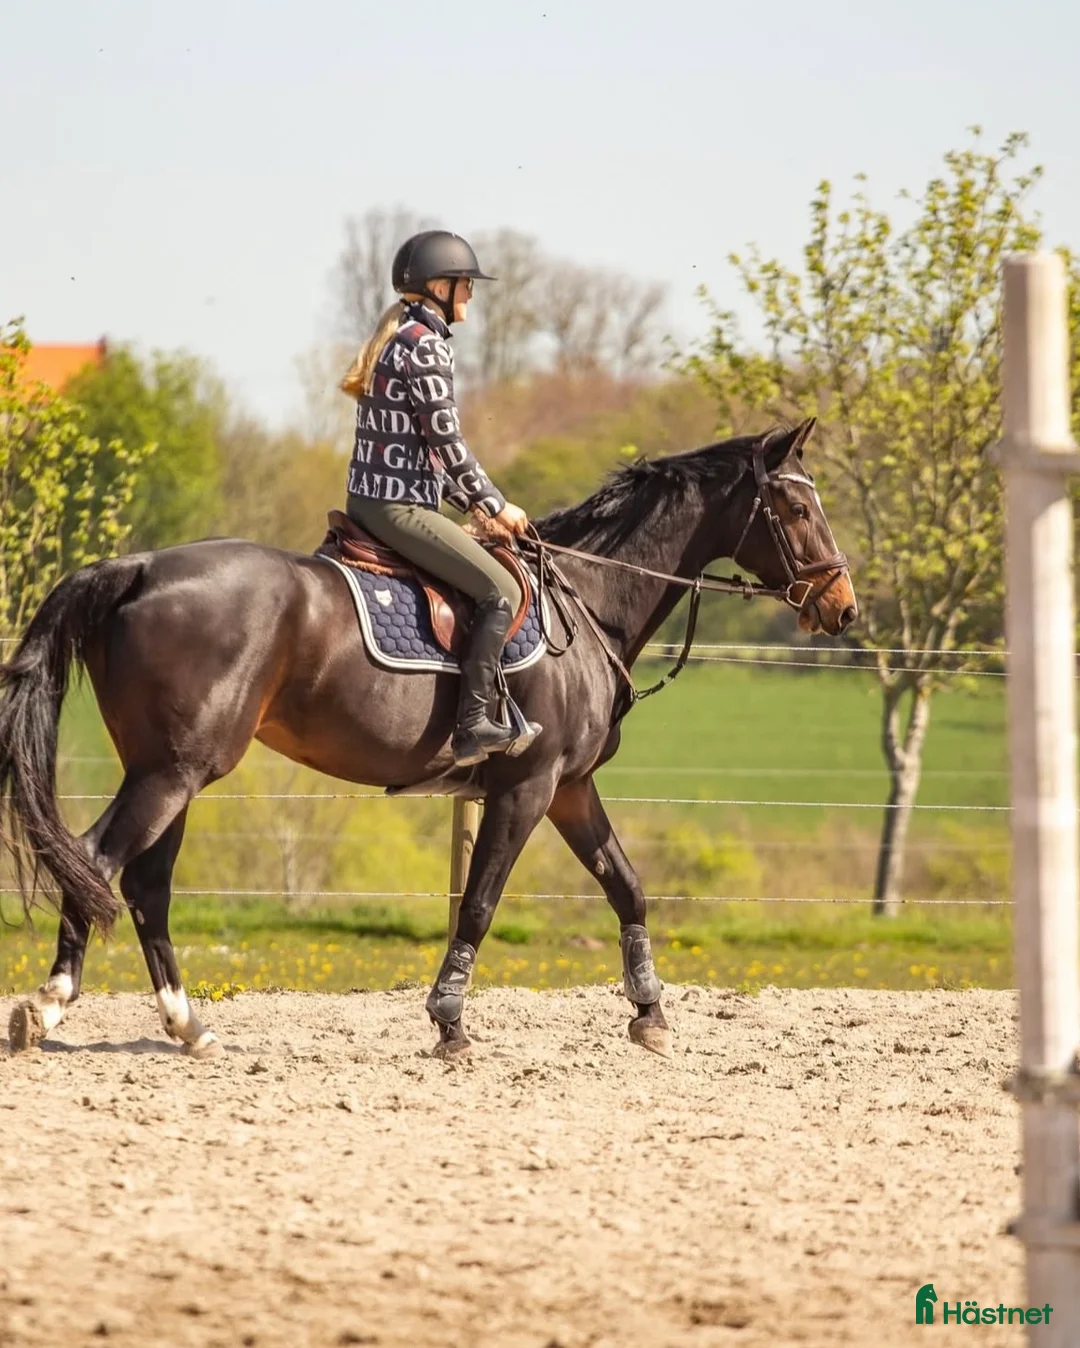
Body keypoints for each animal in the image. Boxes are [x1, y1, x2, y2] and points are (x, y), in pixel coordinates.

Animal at [0, 417, 856, 1061]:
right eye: (798, 509)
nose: (843, 606)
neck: (586, 604)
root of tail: (140, 566)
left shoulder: (571, 790)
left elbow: (627, 886)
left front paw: (649, 1015)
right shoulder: (526, 789)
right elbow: (477, 905)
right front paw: (449, 1023)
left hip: (167, 769)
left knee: (145, 885)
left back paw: (188, 1027)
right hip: (173, 771)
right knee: (96, 861)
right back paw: (46, 1008)